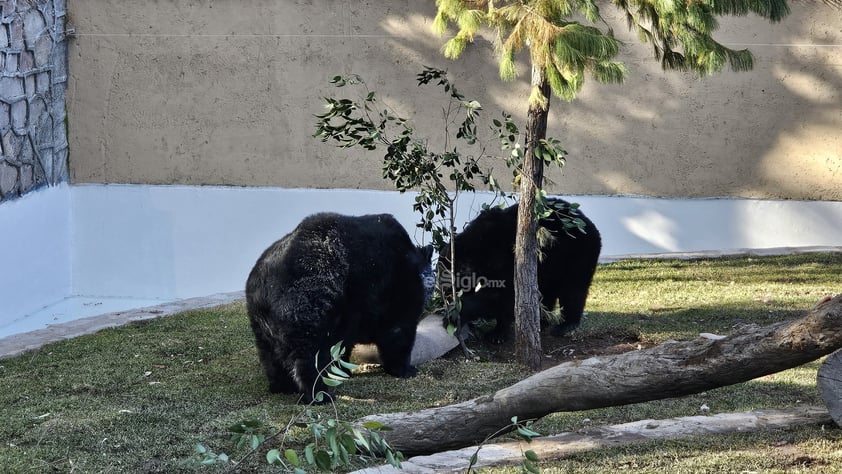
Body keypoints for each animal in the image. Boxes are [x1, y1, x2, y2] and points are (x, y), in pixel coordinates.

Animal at [244, 213, 430, 402]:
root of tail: (264, 284)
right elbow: (397, 329)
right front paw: (405, 369)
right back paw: (319, 394)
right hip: (309, 298)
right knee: (308, 352)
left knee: (269, 353)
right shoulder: (393, 287)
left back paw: (282, 386)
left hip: (260, 319)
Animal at [436, 198, 600, 342]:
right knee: (548, 292)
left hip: (576, 254)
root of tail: (590, 223)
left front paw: (495, 334)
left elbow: (501, 296)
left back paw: (565, 325)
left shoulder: (504, 258)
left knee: (573, 289)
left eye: (450, 286)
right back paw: (542, 320)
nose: (445, 297)